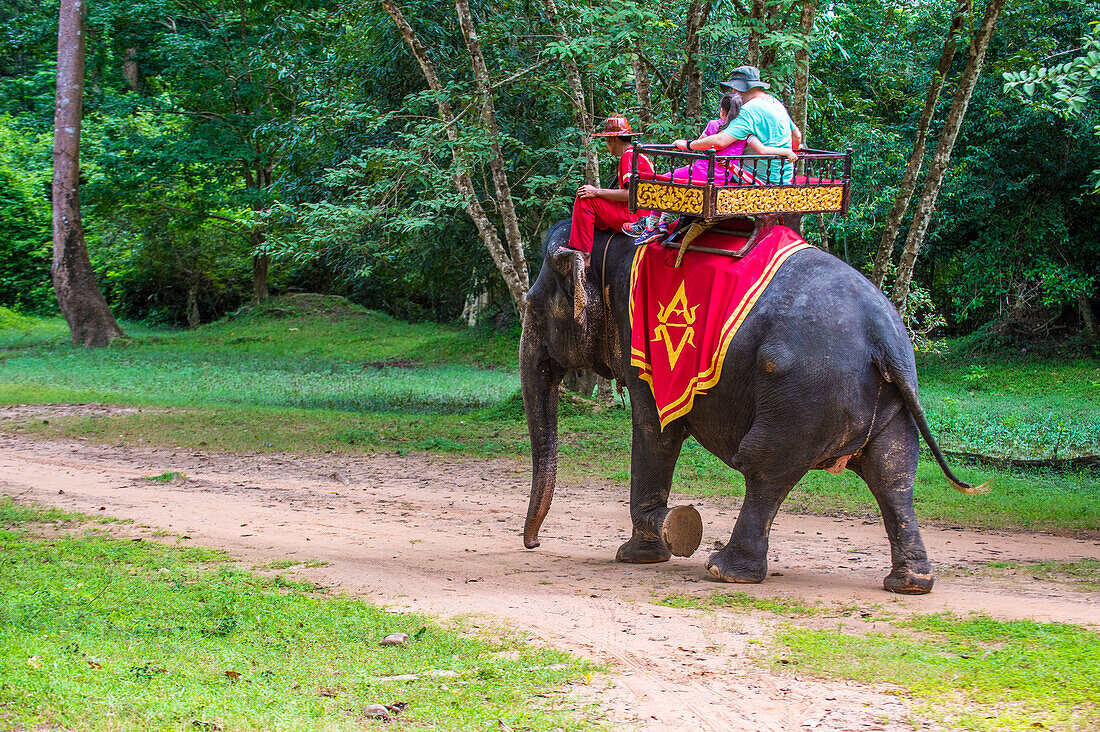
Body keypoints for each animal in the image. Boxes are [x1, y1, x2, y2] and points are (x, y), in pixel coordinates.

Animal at [519, 221, 985, 594]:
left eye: (533, 306)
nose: (535, 544)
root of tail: (884, 335)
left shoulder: (647, 350)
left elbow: (655, 431)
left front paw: (645, 547)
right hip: (885, 400)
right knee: (893, 474)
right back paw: (910, 584)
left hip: (803, 394)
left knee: (765, 467)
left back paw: (724, 570)